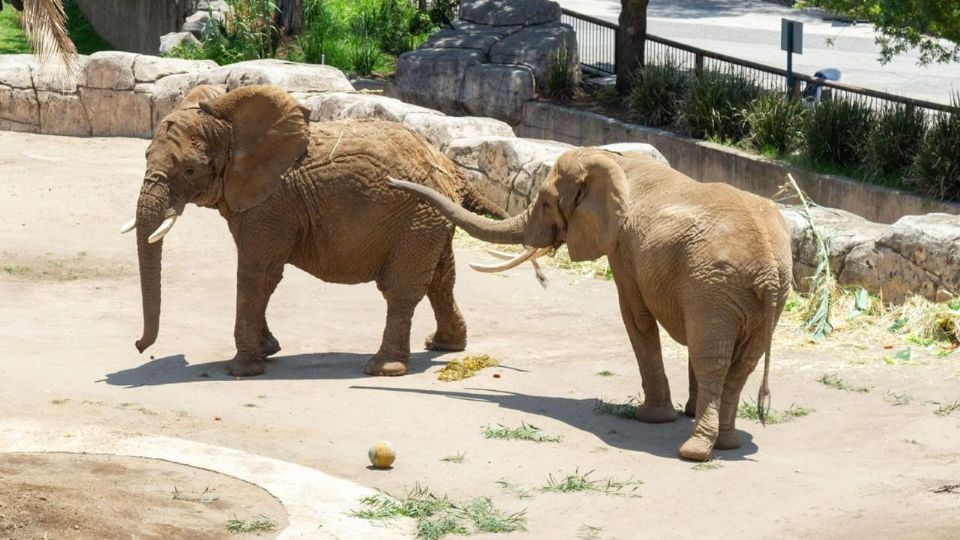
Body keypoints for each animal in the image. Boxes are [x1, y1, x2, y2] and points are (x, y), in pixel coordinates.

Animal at [123, 85, 506, 380]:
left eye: (189, 170)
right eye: (145, 156)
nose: (140, 347)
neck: (230, 126)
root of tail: (452, 171)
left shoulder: (271, 203)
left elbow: (256, 273)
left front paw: (241, 370)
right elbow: (266, 277)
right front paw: (268, 350)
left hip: (417, 217)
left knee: (402, 288)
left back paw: (383, 369)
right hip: (430, 219)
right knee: (441, 279)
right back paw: (444, 345)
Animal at [386, 147, 792, 460]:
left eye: (546, 204)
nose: (391, 183)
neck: (614, 160)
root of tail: (769, 271)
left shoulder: (623, 246)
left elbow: (636, 317)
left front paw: (651, 418)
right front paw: (682, 413)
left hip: (715, 289)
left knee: (714, 359)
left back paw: (694, 451)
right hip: (747, 296)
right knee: (742, 365)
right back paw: (727, 443)